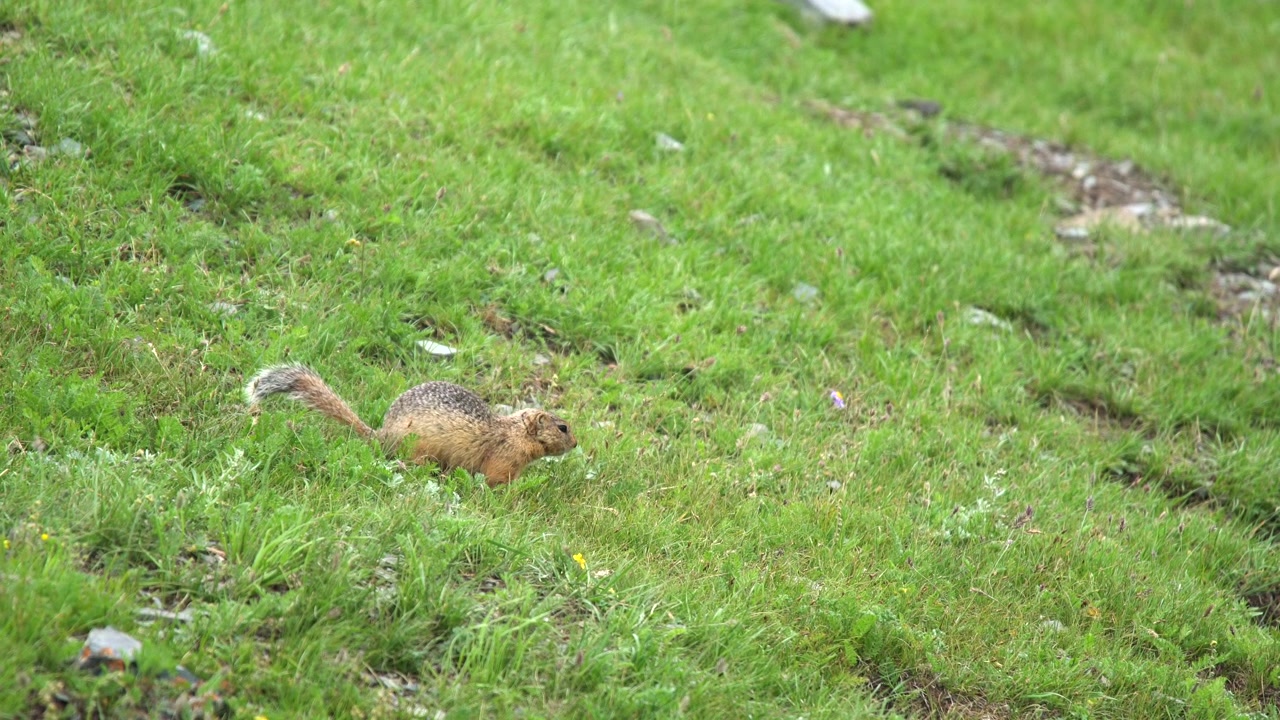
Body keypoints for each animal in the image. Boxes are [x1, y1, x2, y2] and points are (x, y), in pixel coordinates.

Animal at [244, 364, 577, 486]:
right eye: (563, 428)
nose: (576, 444)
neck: (515, 433)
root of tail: (381, 435)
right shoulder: (505, 458)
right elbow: (496, 479)